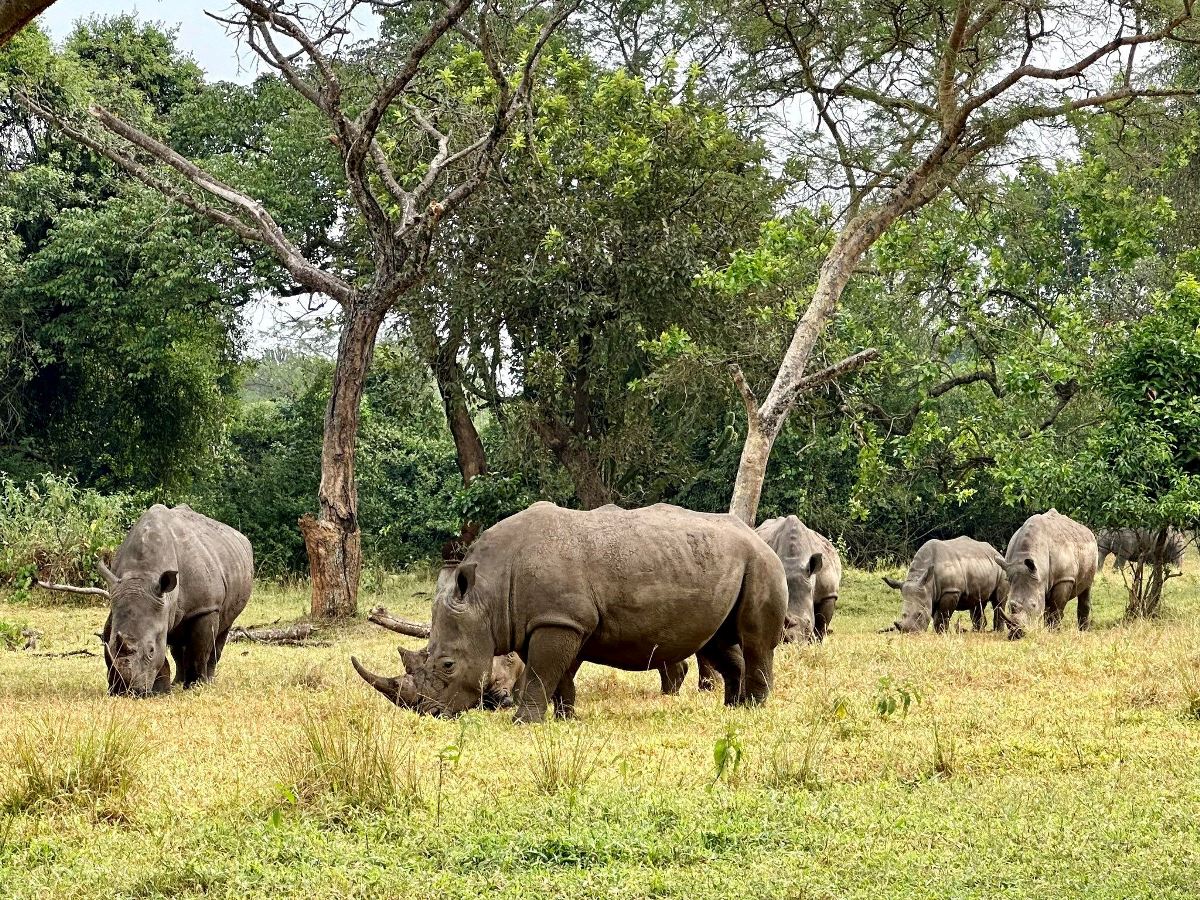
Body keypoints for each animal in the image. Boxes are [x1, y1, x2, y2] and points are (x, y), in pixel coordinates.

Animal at [100, 508, 253, 696]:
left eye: (151, 651)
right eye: (110, 645)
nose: (127, 691)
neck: (142, 575)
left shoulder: (205, 607)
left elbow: (199, 650)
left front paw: (196, 686)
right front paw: (160, 690)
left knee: (222, 631)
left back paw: (208, 681)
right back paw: (176, 683)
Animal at [355, 504, 787, 724]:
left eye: (447, 665)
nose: (429, 714)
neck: (487, 594)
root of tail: (755, 534)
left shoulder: (558, 620)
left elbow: (540, 673)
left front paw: (524, 722)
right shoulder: (548, 620)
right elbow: (555, 673)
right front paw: (564, 718)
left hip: (762, 563)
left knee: (753, 640)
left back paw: (754, 709)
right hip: (725, 563)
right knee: (715, 640)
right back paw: (734, 708)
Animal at [878, 540, 1008, 638]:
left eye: (919, 614)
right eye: (903, 614)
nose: (910, 634)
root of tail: (995, 551)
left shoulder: (950, 591)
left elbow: (941, 615)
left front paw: (941, 634)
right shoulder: (930, 594)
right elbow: (935, 614)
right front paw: (939, 633)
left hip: (1002, 569)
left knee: (998, 602)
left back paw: (997, 632)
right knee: (977, 603)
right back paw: (977, 632)